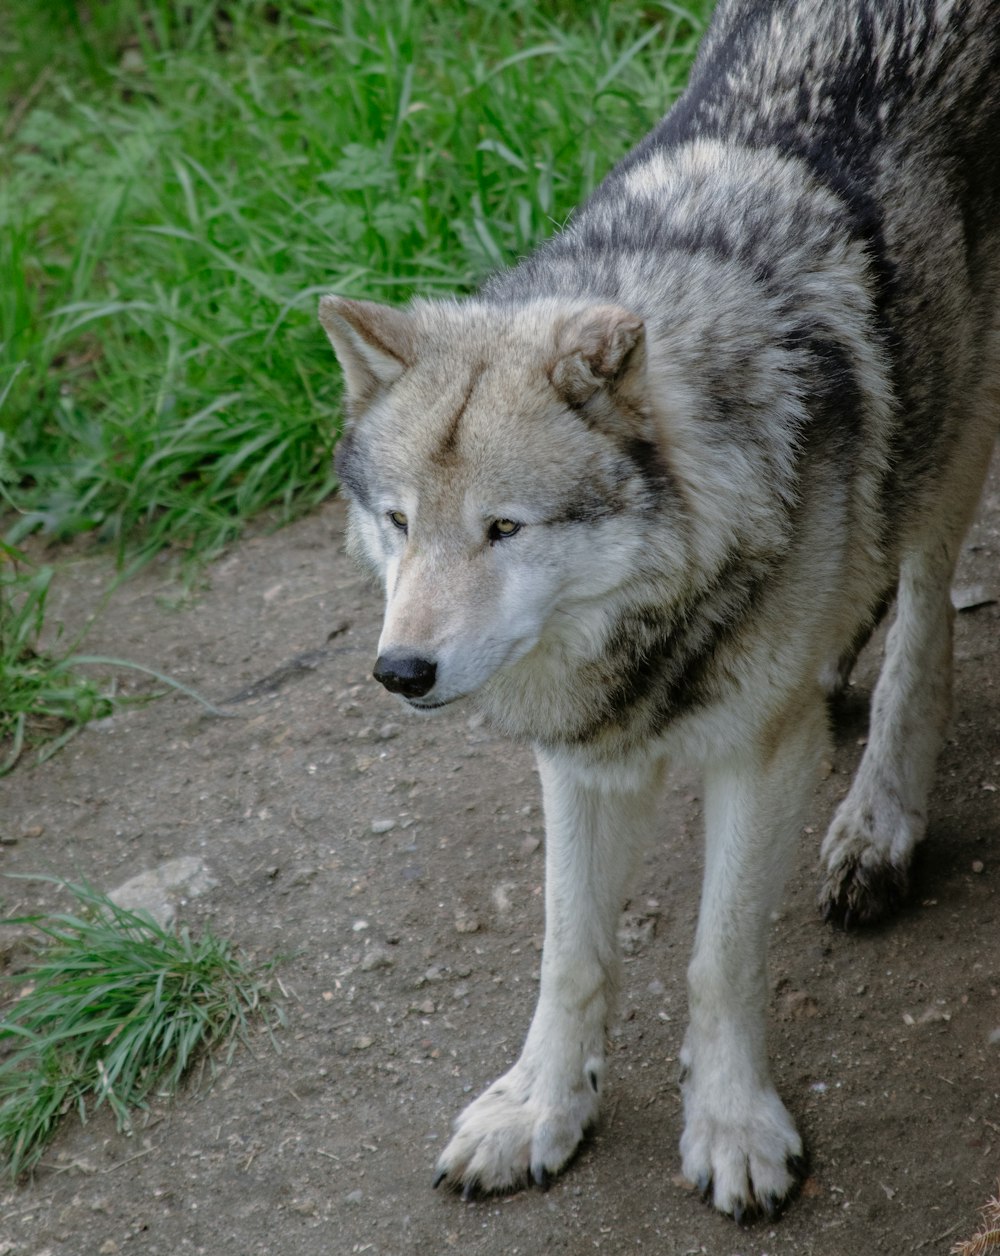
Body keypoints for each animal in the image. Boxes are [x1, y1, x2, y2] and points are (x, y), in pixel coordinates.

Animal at [317, 0, 1000, 1220]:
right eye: (398, 522)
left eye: (505, 529)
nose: (400, 673)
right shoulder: (582, 759)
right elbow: (570, 954)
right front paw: (541, 1110)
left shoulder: (757, 760)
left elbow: (717, 958)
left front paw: (732, 1126)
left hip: (960, 416)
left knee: (925, 614)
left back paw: (878, 822)